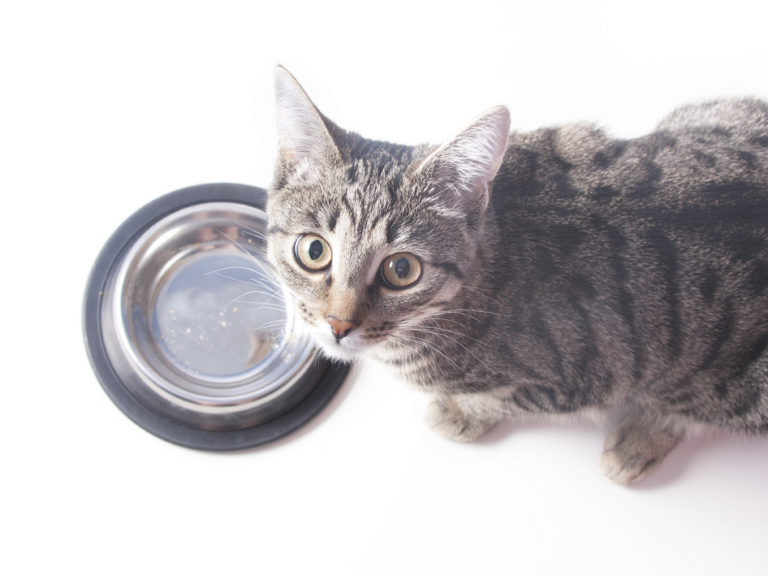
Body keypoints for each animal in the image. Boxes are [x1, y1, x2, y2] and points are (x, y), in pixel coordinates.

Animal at [264, 65, 768, 484]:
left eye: (402, 269)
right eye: (313, 250)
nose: (338, 325)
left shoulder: (582, 380)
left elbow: (500, 397)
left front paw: (461, 412)